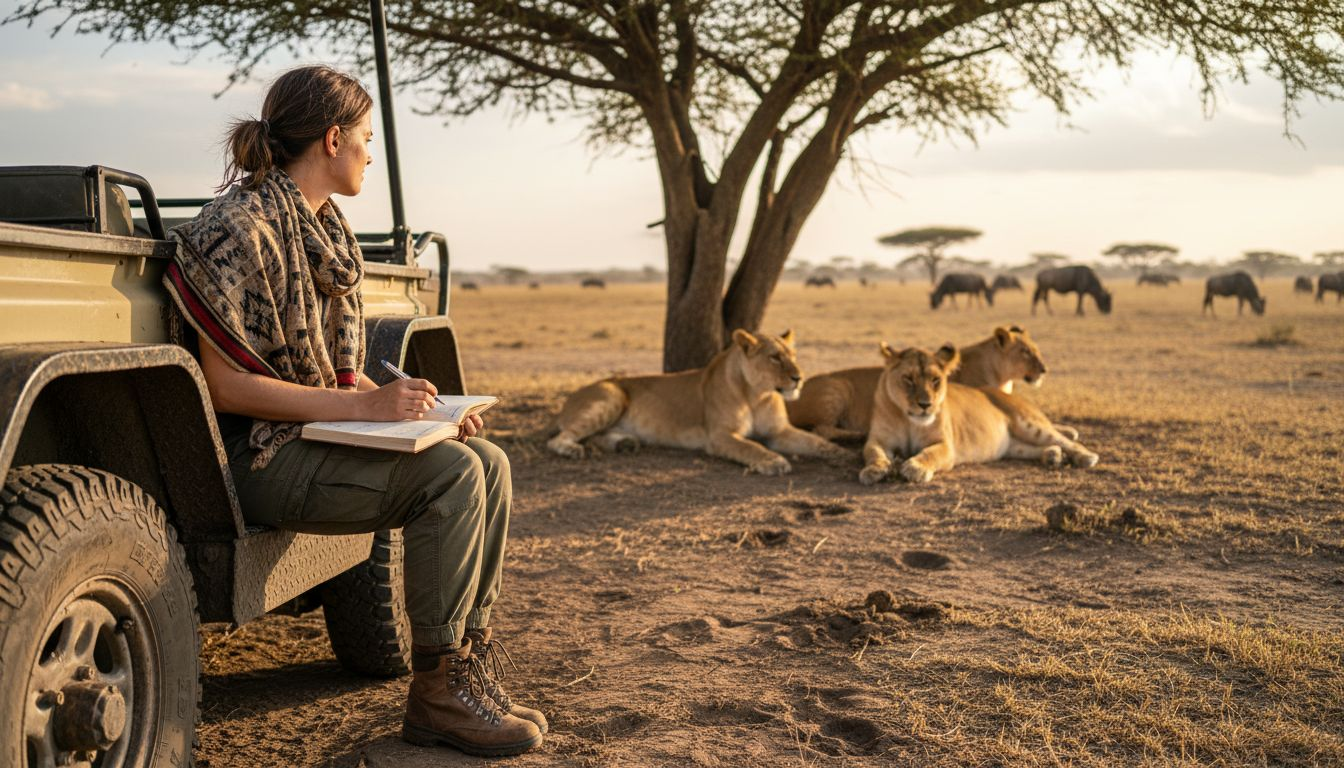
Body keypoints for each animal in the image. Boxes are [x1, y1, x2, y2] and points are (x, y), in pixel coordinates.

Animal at [546, 329, 852, 475]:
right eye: (775, 357)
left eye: (794, 355)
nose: (799, 378)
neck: (758, 394)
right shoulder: (719, 436)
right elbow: (750, 446)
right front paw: (773, 461)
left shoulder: (779, 431)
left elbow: (816, 442)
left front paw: (845, 455)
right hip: (612, 396)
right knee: (561, 438)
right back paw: (574, 449)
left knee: (595, 436)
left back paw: (626, 443)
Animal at [787, 325, 1073, 441]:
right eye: (1025, 352)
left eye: (1036, 349)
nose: (1044, 369)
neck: (1003, 377)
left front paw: (1066, 429)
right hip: (837, 389)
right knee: (822, 429)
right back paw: (858, 434)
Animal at [858, 343, 1098, 485]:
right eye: (908, 379)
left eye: (935, 380)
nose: (926, 405)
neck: (909, 420)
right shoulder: (878, 439)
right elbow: (873, 453)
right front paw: (874, 470)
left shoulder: (947, 446)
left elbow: (930, 454)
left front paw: (915, 467)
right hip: (1013, 446)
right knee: (1039, 447)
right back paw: (1052, 455)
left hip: (1030, 424)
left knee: (1067, 441)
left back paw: (1086, 457)